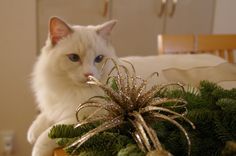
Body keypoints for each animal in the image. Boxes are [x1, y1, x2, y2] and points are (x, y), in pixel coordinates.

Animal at [27, 17, 117, 156]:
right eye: (74, 57)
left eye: (99, 58)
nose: (89, 74)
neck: (73, 91)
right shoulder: (56, 105)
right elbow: (45, 116)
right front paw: (32, 133)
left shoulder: (88, 116)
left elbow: (50, 132)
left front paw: (37, 149)